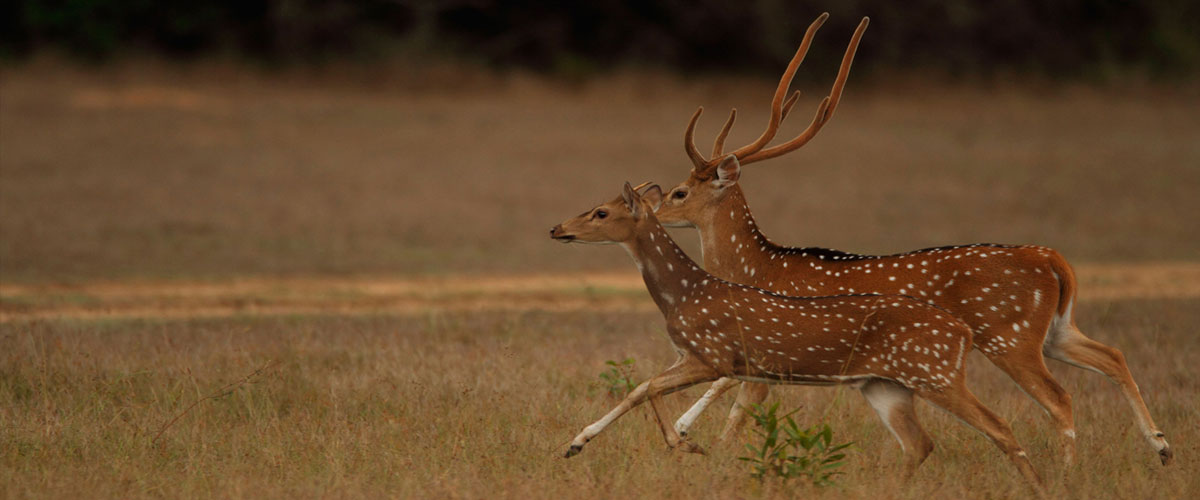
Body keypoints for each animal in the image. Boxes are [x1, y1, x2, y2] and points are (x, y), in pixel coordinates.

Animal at [549, 183, 1041, 491]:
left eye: (601, 212)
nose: (556, 228)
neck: (684, 294)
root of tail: (961, 330)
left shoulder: (713, 356)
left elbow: (647, 387)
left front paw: (684, 443)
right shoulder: (693, 357)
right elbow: (639, 388)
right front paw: (576, 444)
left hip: (934, 372)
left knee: (999, 426)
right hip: (885, 384)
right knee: (920, 443)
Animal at [657, 10, 1171, 462]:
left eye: (680, 191)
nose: (652, 209)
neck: (760, 267)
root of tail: (1050, 259)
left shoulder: (775, 346)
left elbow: (733, 396)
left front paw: (689, 439)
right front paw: (685, 435)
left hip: (1008, 335)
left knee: (1060, 396)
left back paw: (1069, 470)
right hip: (1051, 330)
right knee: (1111, 354)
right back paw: (1161, 447)